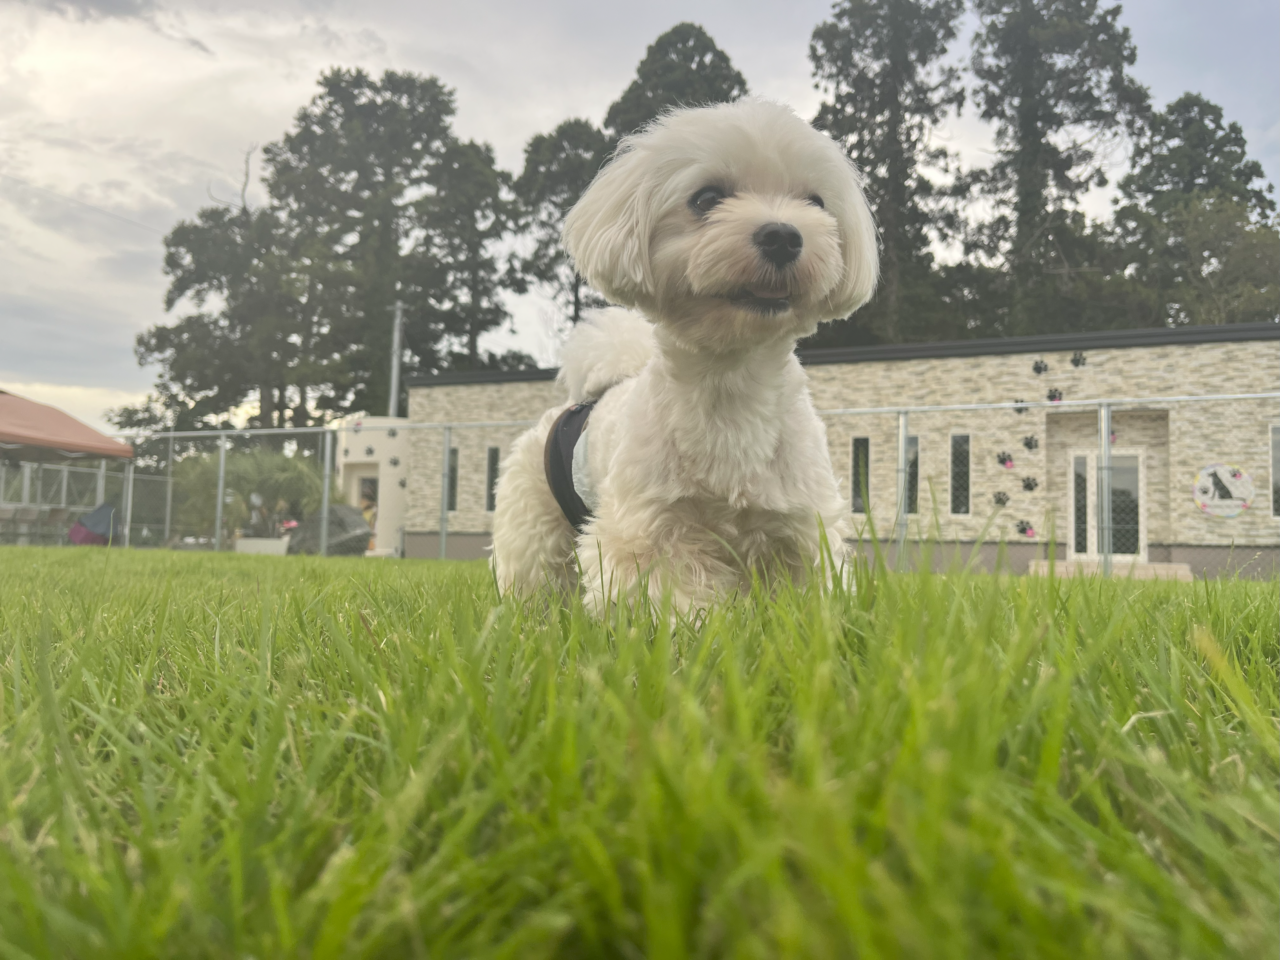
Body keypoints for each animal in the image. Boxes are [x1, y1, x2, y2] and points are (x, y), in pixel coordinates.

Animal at [488, 96, 880, 609]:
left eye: (816, 203)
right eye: (706, 199)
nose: (784, 235)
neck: (731, 384)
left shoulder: (802, 523)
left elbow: (810, 595)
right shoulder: (650, 531)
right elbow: (668, 600)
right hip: (533, 521)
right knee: (530, 580)